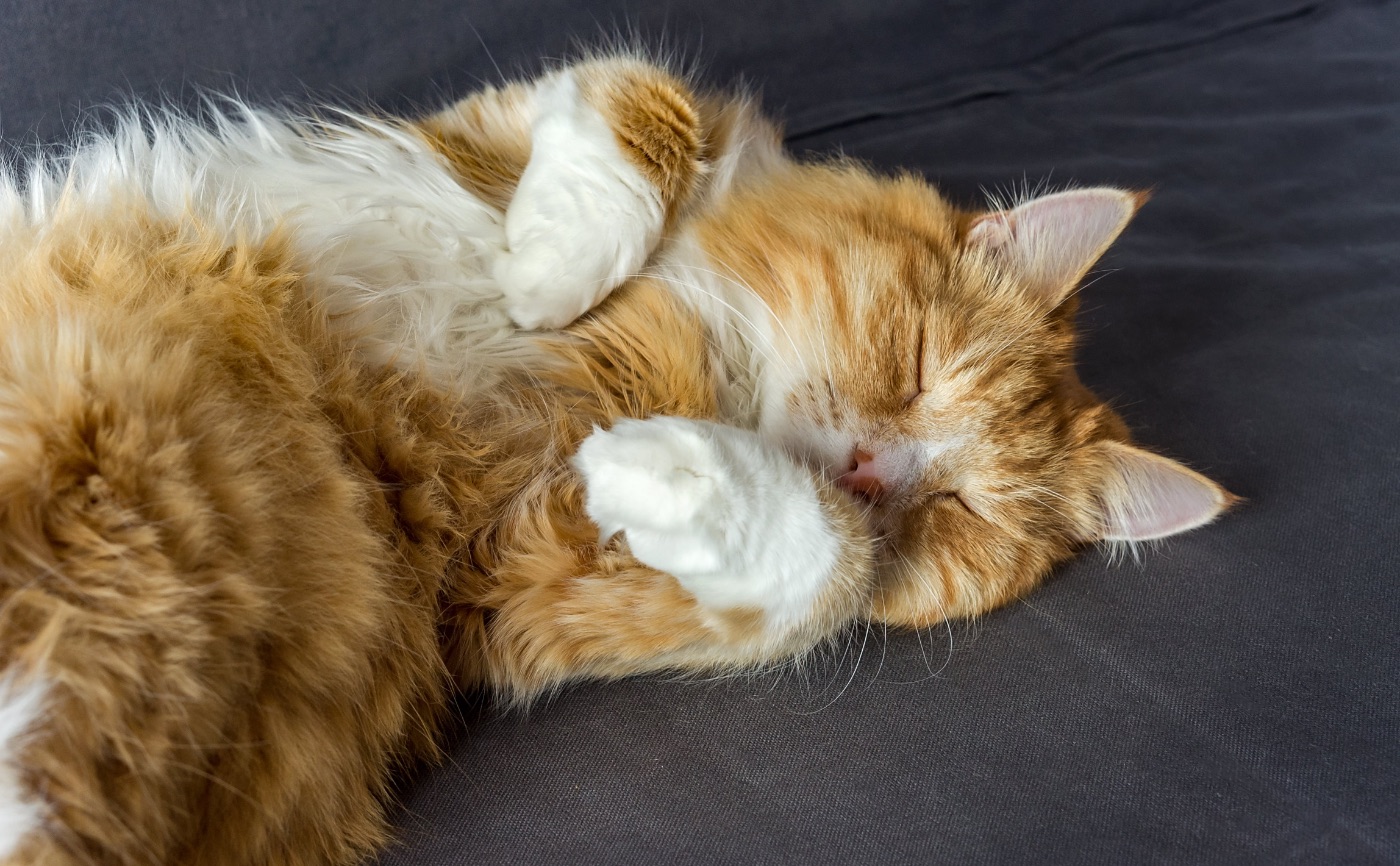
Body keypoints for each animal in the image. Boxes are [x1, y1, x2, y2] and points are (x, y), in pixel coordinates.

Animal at [0, 54, 1232, 866]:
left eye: (959, 509)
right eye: (919, 365)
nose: (876, 471)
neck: (717, 365)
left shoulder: (502, 582)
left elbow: (821, 569)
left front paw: (662, 469)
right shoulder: (509, 129)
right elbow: (643, 105)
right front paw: (547, 275)